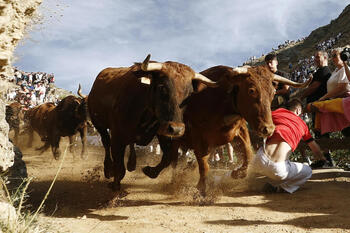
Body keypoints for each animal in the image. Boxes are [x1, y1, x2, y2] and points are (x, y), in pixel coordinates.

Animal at [88, 54, 216, 191]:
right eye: (162, 87)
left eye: (190, 94)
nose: (177, 129)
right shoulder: (117, 136)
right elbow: (119, 164)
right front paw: (115, 183)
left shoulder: (164, 132)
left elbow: (167, 157)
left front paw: (151, 171)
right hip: (99, 124)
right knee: (106, 143)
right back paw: (108, 169)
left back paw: (131, 163)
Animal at [141, 64, 310, 194]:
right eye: (251, 90)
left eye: (273, 92)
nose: (267, 129)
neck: (223, 100)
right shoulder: (197, 136)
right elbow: (203, 165)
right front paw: (201, 188)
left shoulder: (240, 130)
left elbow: (248, 154)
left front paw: (237, 173)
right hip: (172, 137)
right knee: (171, 159)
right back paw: (162, 175)